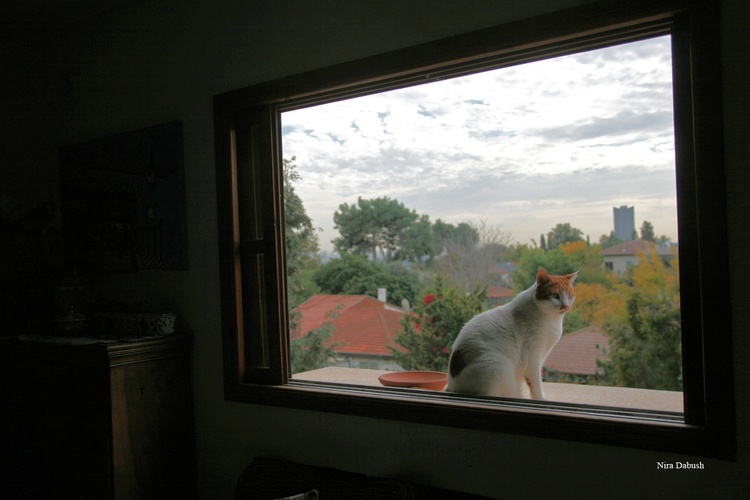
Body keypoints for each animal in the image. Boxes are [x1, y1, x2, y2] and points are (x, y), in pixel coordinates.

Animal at [446, 269, 578, 400]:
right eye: (555, 295)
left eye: (570, 296)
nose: (565, 306)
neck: (552, 319)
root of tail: (452, 386)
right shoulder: (533, 357)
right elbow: (536, 383)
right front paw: (541, 398)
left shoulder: (542, 354)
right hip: (496, 364)